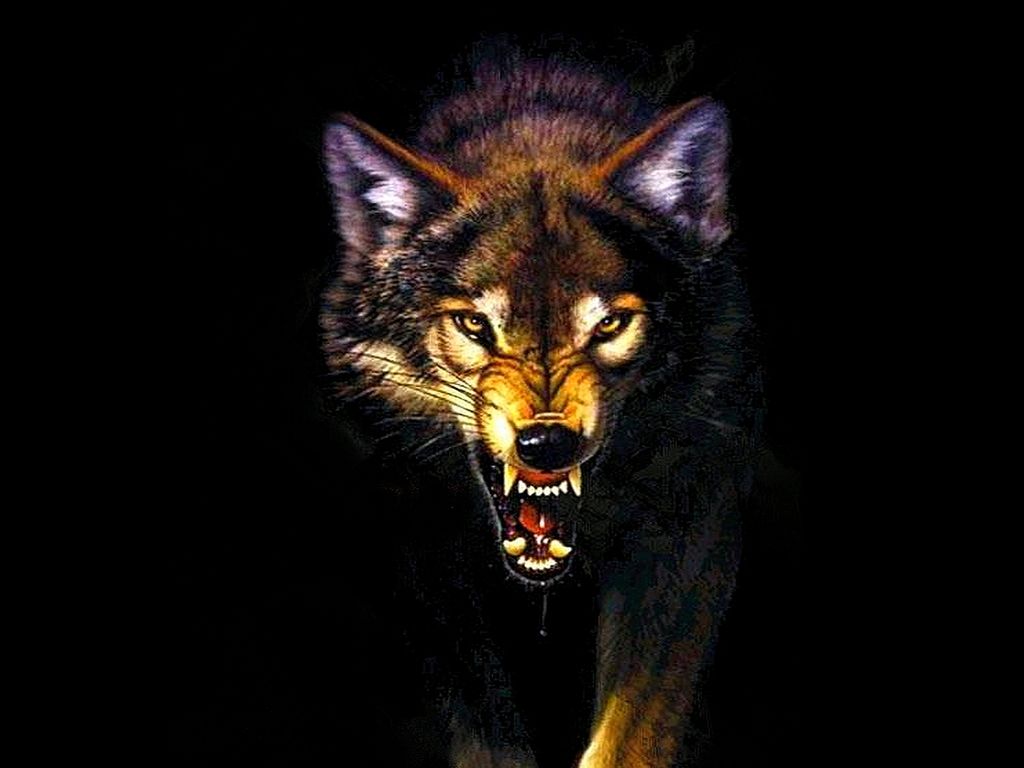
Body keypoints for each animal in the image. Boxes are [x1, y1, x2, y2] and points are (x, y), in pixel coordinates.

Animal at [321, 56, 763, 767]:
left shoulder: (694, 523)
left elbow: (631, 733)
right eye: (475, 325)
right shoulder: (417, 548)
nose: (547, 445)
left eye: (609, 324)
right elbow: (485, 727)